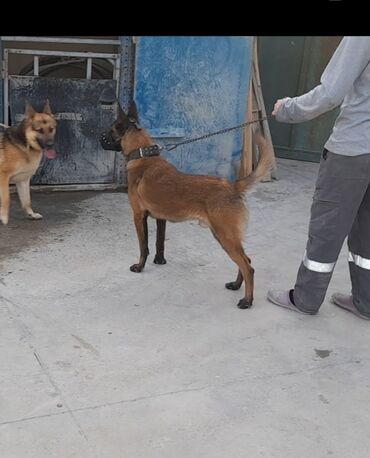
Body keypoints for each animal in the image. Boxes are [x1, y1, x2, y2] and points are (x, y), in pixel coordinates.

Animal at [99, 102, 274, 310]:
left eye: (110, 130)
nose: (98, 136)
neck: (143, 154)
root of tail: (232, 186)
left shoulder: (138, 216)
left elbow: (144, 247)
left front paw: (140, 267)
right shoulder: (160, 218)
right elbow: (159, 242)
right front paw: (159, 261)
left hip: (226, 236)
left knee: (248, 267)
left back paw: (247, 300)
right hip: (224, 236)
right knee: (245, 261)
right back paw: (236, 285)